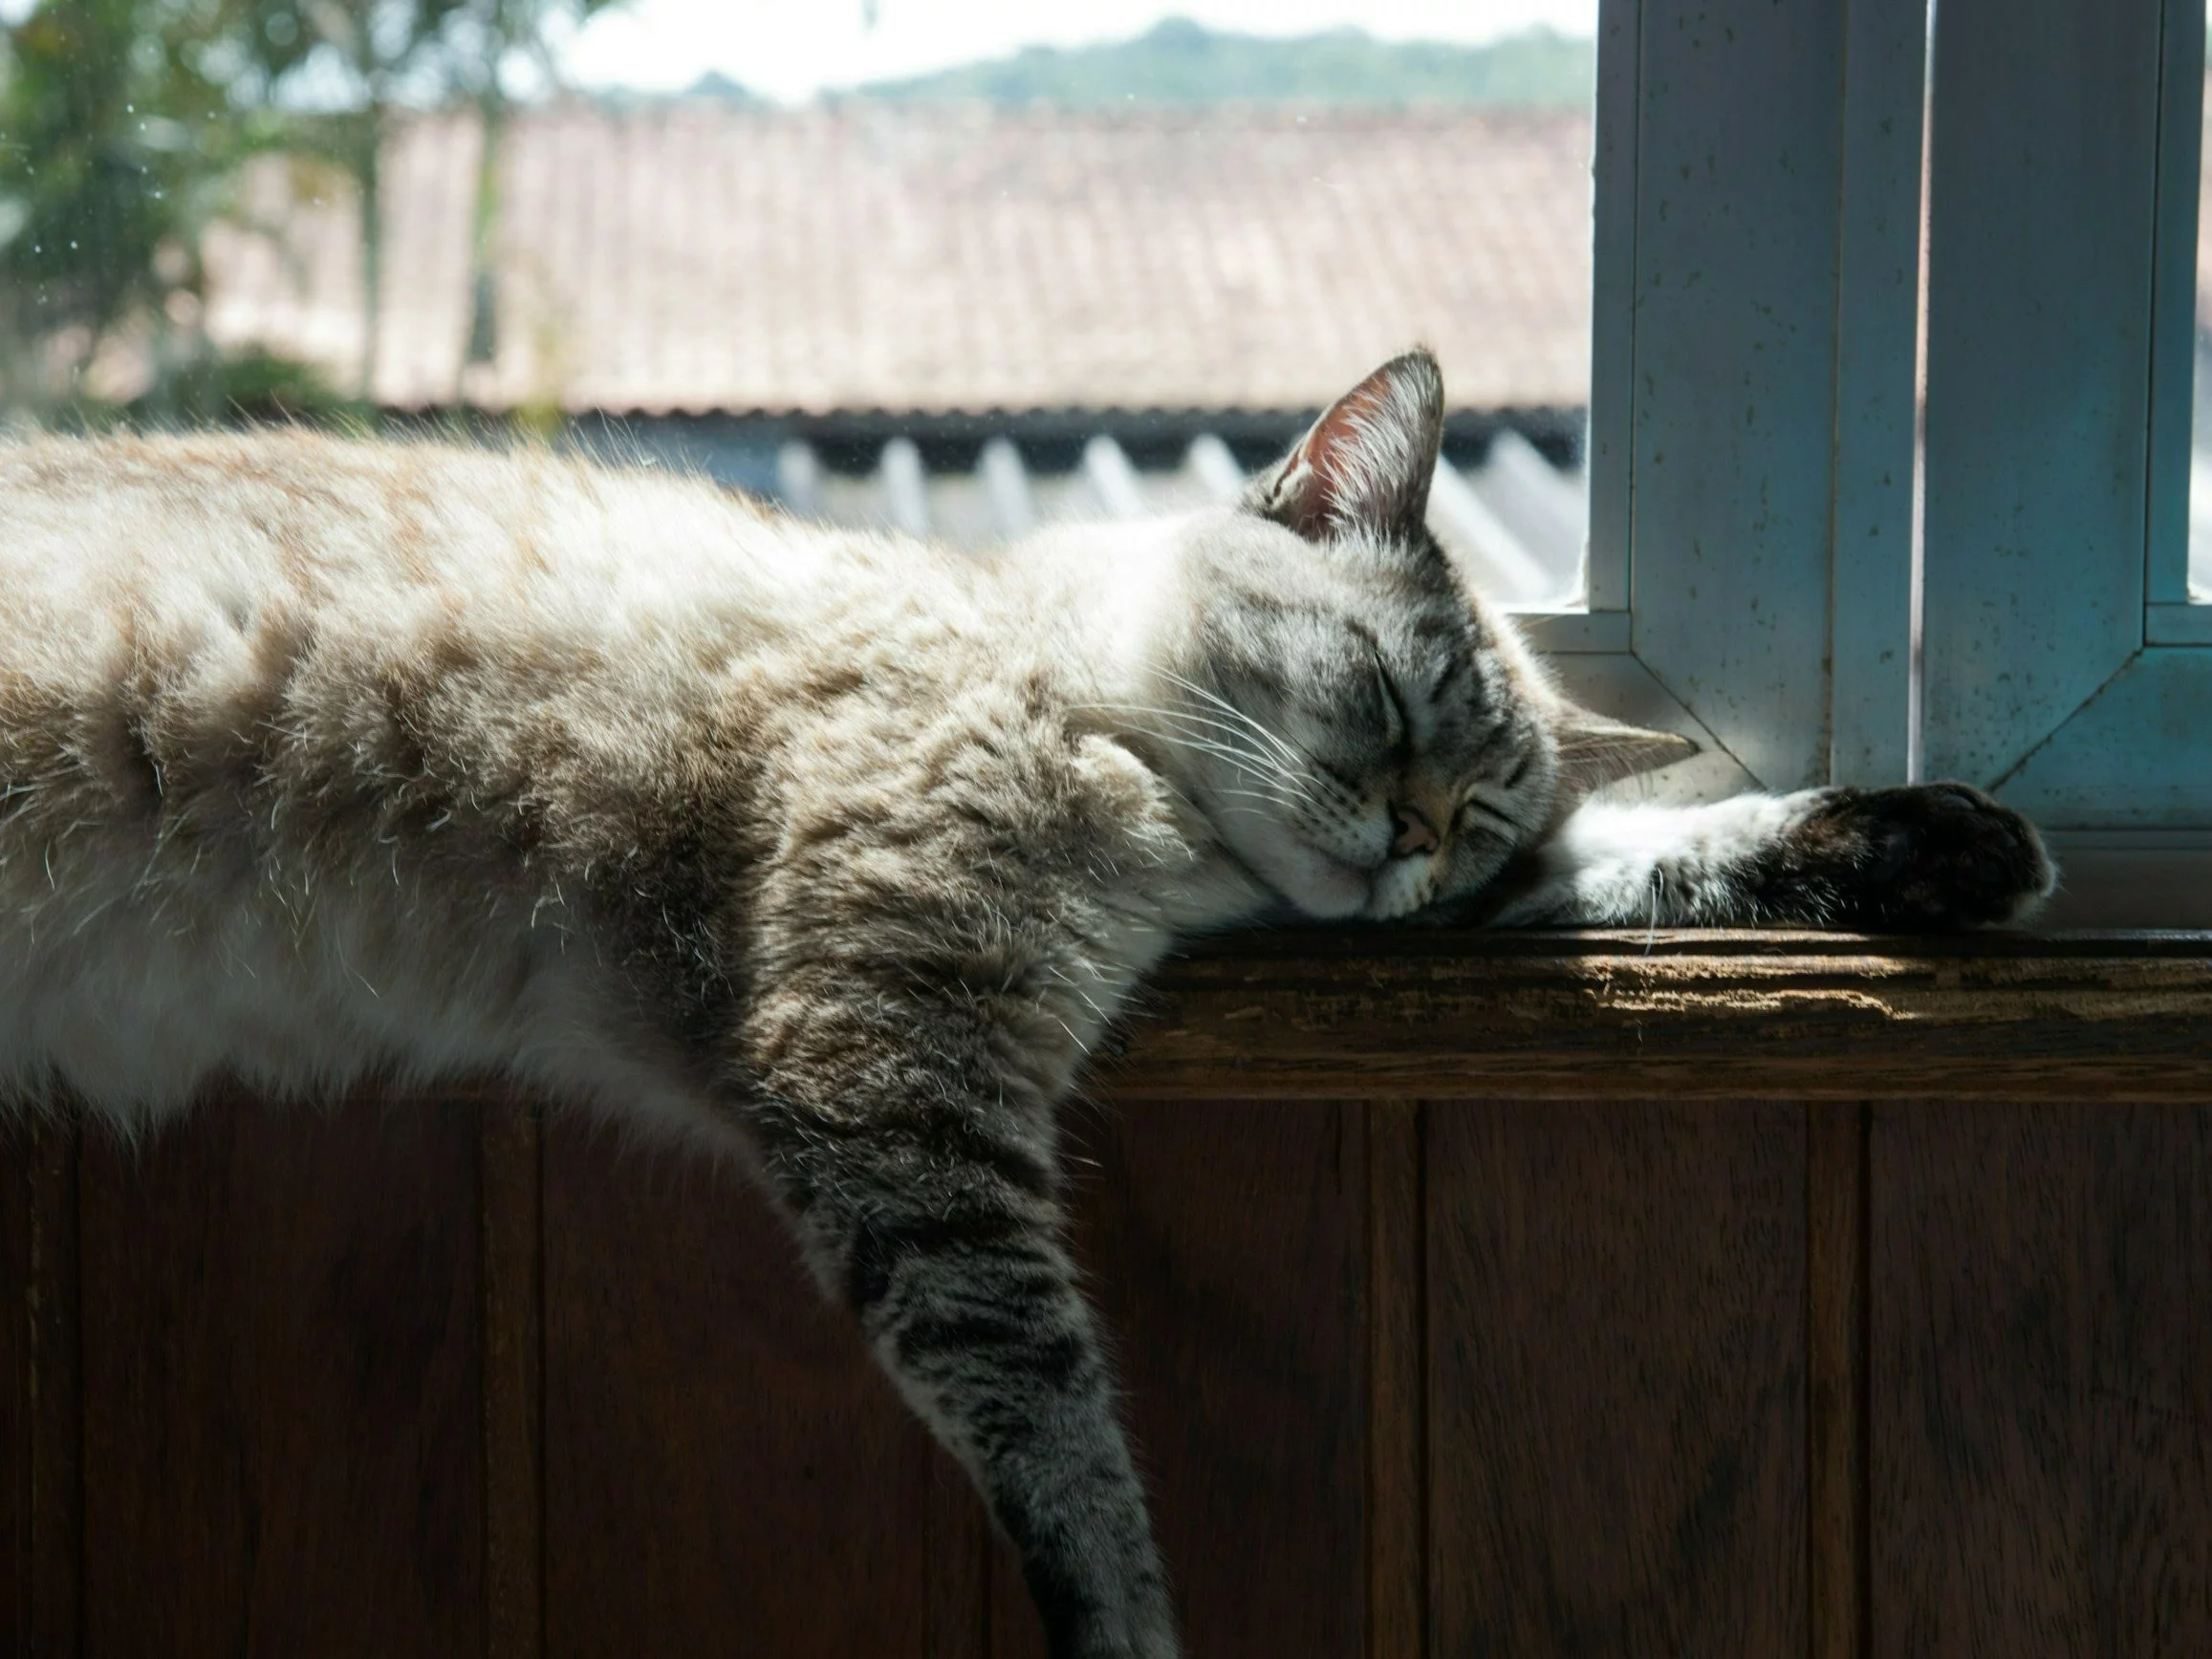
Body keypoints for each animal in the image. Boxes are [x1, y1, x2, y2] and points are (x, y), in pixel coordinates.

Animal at [0, 354, 2044, 1659]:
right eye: (1384, 703)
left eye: (1472, 813)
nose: (1401, 843)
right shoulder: (891, 1060)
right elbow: (1061, 1429)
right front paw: (1129, 1631)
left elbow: (1658, 848)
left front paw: (1945, 849)